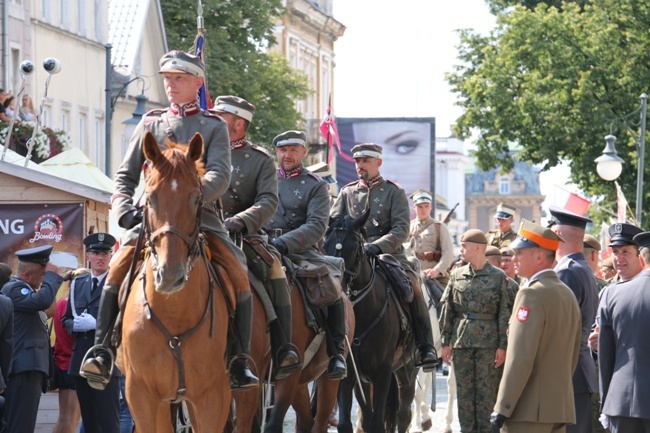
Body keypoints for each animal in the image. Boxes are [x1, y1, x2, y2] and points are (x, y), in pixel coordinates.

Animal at [116, 132, 233, 432]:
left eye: (196, 198)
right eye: (151, 198)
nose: (170, 275)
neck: (174, 312)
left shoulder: (212, 396)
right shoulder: (141, 395)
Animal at [322, 210, 418, 432]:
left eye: (354, 248)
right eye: (324, 245)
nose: (336, 286)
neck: (362, 315)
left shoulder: (382, 374)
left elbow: (377, 423)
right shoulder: (349, 374)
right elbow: (349, 423)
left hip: (407, 370)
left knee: (403, 415)